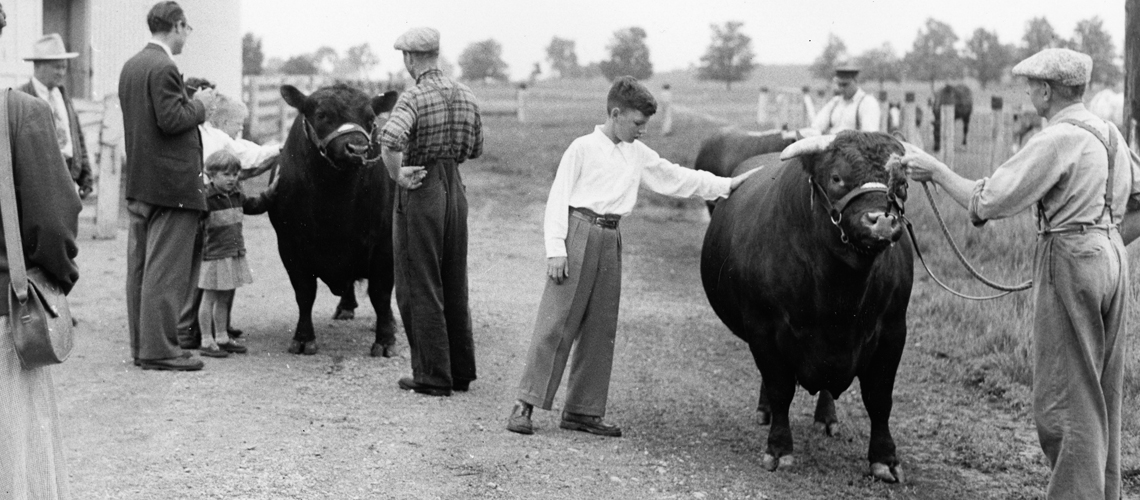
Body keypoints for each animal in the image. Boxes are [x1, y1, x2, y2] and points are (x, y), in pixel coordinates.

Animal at [270, 84, 403, 357]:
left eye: (370, 118)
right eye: (322, 115)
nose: (357, 149)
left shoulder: (385, 245)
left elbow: (381, 293)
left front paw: (385, 340)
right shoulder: (289, 246)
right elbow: (304, 293)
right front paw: (303, 338)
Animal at [697, 130, 912, 482]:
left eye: (902, 183)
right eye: (837, 177)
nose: (881, 221)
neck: (840, 293)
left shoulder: (893, 331)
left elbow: (880, 398)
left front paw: (885, 458)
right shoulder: (763, 329)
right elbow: (780, 388)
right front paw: (779, 449)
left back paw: (827, 417)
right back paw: (766, 411)